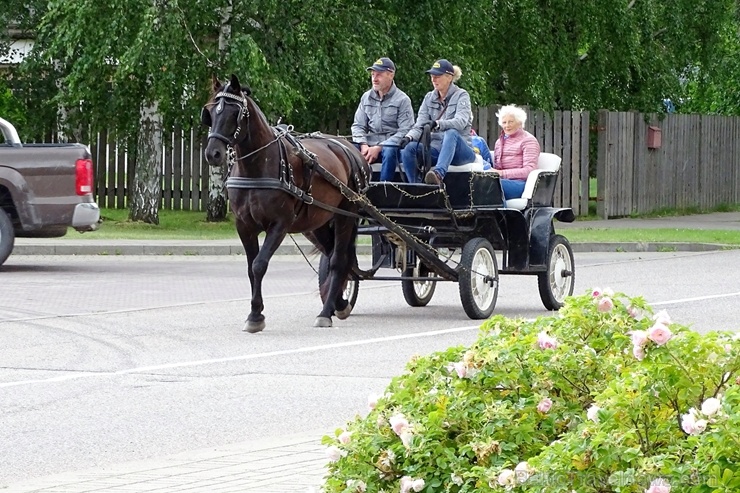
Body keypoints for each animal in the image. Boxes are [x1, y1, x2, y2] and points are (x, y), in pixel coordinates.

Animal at [202, 75, 370, 332]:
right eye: (211, 112)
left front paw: (255, 315)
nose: (213, 153)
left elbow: (259, 264)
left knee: (338, 260)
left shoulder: (279, 224)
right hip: (318, 222)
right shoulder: (244, 226)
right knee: (333, 255)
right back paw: (339, 303)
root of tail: (348, 148)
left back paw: (326, 312)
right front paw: (255, 312)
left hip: (345, 216)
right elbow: (250, 269)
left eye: (234, 113)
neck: (258, 168)